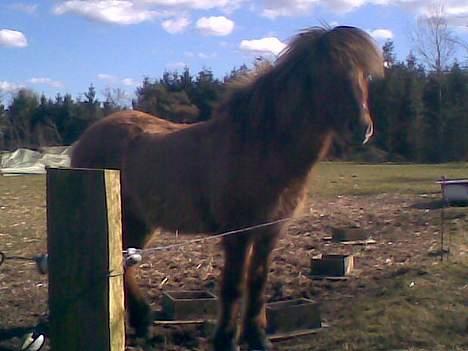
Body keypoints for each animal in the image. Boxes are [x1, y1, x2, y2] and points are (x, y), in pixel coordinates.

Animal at [70, 26, 384, 350]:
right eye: (326, 72)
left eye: (364, 75)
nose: (362, 128)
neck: (260, 147)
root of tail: (86, 138)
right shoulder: (237, 233)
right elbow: (233, 285)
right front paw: (225, 340)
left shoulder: (270, 231)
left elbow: (257, 282)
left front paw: (257, 338)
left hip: (139, 222)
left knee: (126, 265)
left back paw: (144, 323)